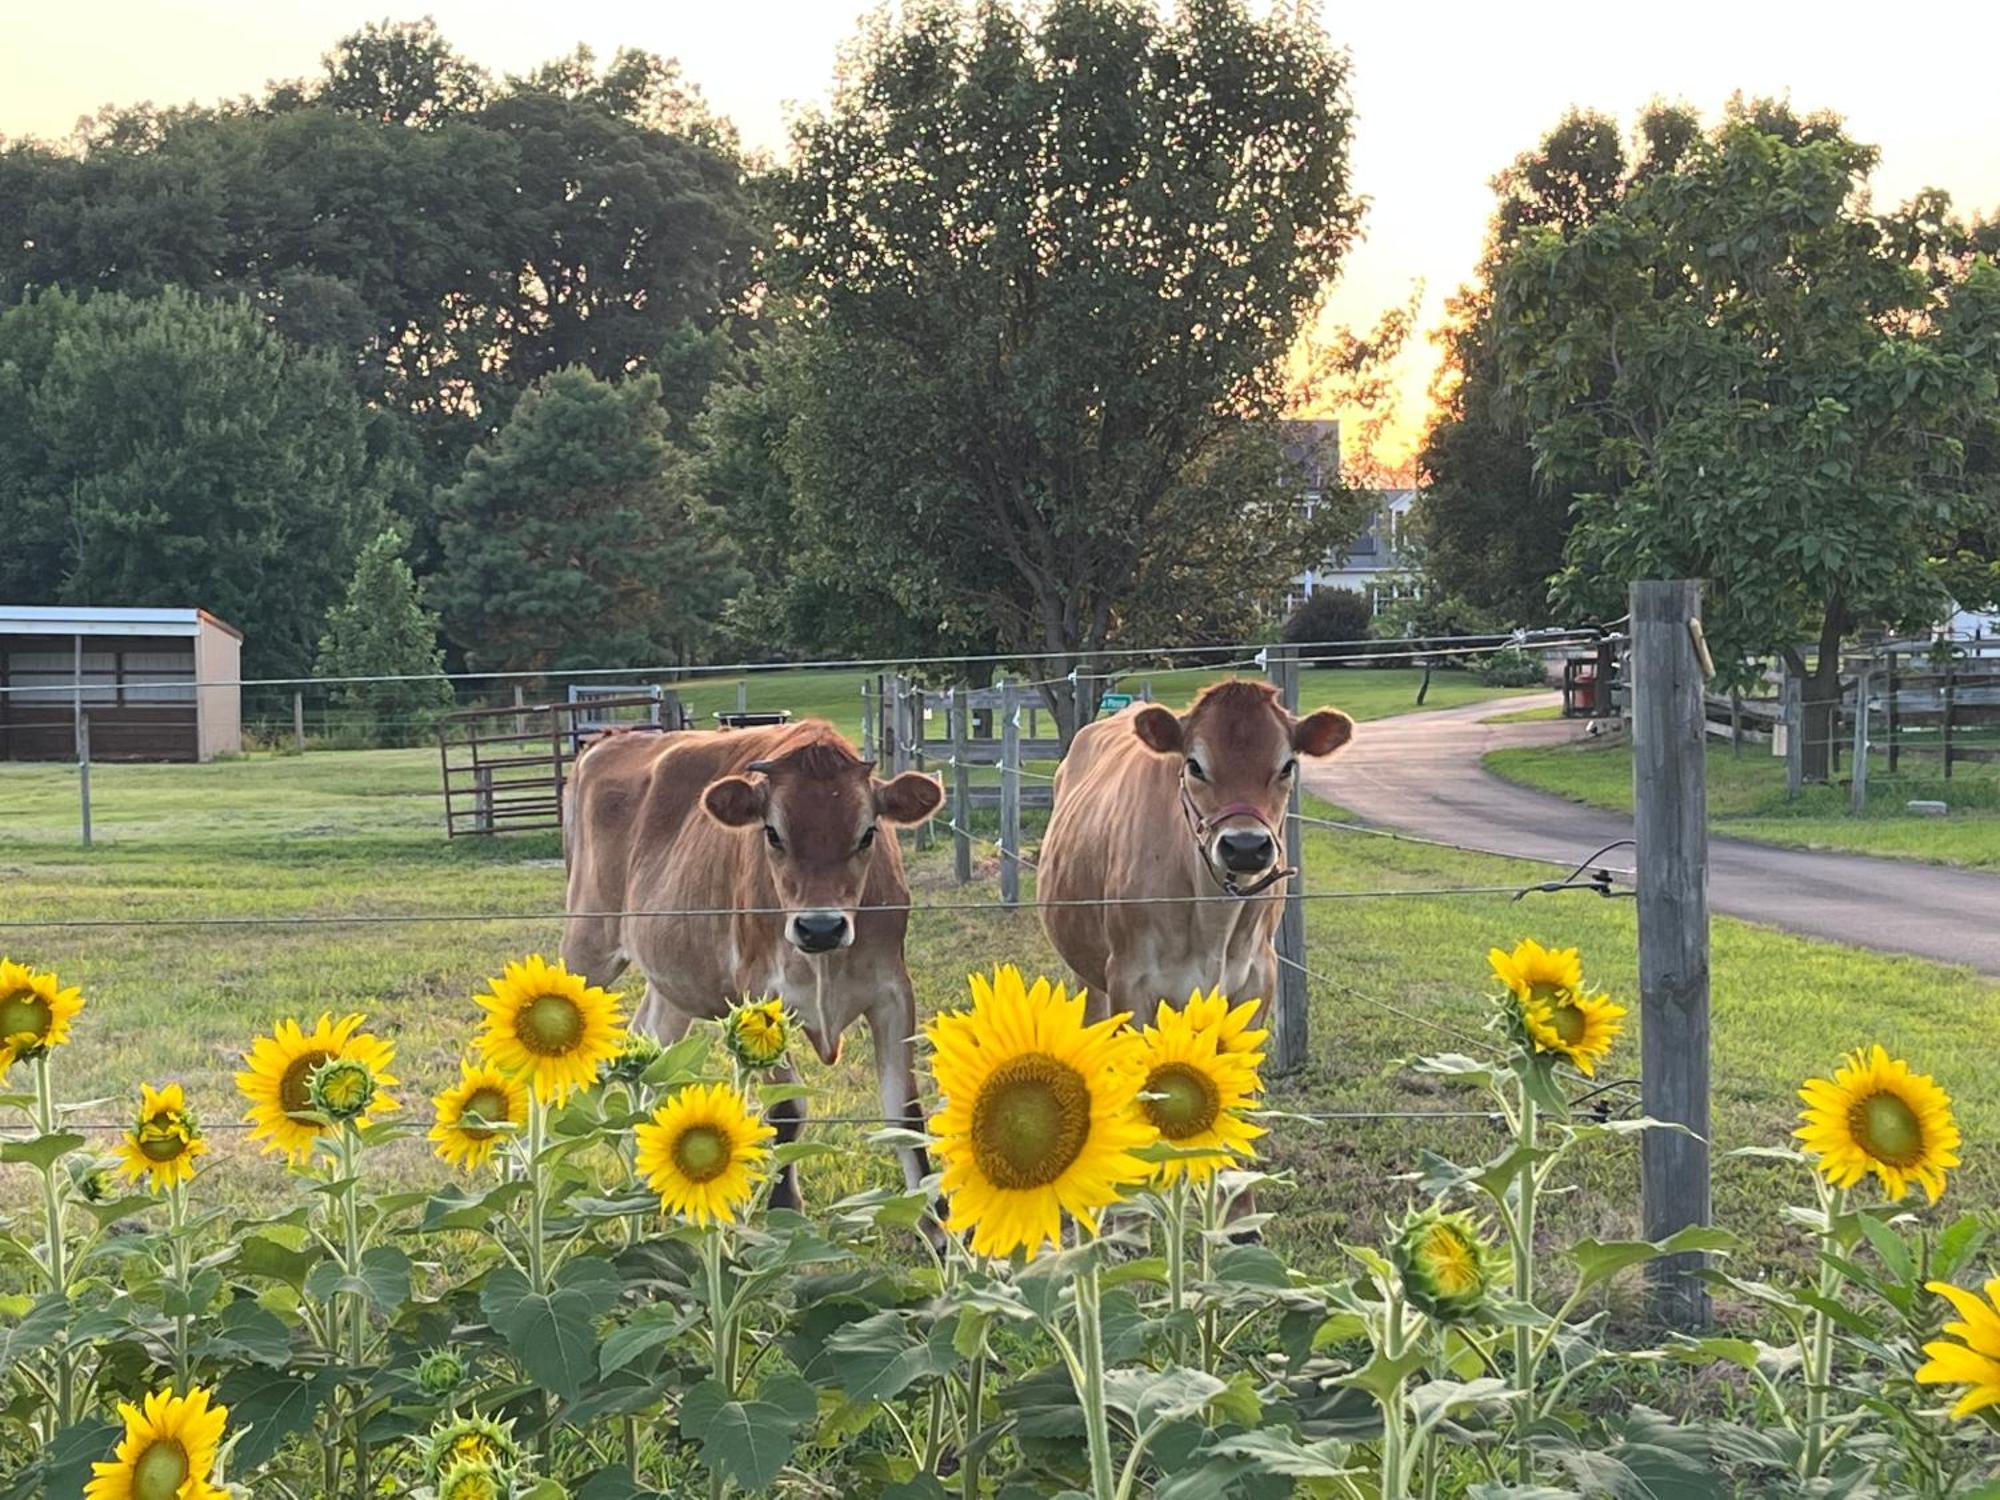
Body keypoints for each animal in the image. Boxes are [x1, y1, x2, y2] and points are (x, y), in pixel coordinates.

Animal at [560, 720, 940, 1208]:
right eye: (773, 833)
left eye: (868, 833)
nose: (820, 927)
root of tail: (609, 741)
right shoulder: (760, 992)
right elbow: (787, 1109)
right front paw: (784, 1207)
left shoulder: (893, 991)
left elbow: (906, 1117)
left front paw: (935, 1222)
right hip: (587, 944)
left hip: (671, 980)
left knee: (650, 1047)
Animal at [1032, 684, 1360, 1032]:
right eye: (1194, 766)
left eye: (1287, 766)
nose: (1245, 846)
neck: (1213, 920)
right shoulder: (1128, 979)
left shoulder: (1259, 979)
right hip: (1086, 971)